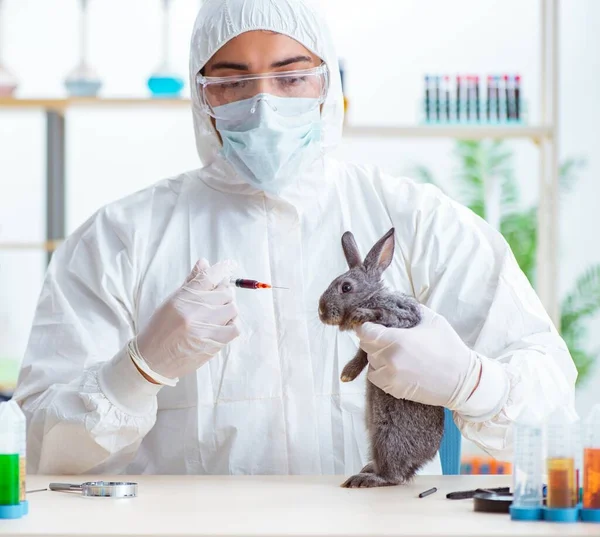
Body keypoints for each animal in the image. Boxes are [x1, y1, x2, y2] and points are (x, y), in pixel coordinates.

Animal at [318, 228, 446, 488]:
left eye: (346, 287)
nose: (321, 312)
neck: (371, 296)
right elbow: (362, 355)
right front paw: (347, 373)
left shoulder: (401, 316)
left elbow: (382, 315)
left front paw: (360, 314)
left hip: (388, 436)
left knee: (394, 476)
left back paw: (365, 479)